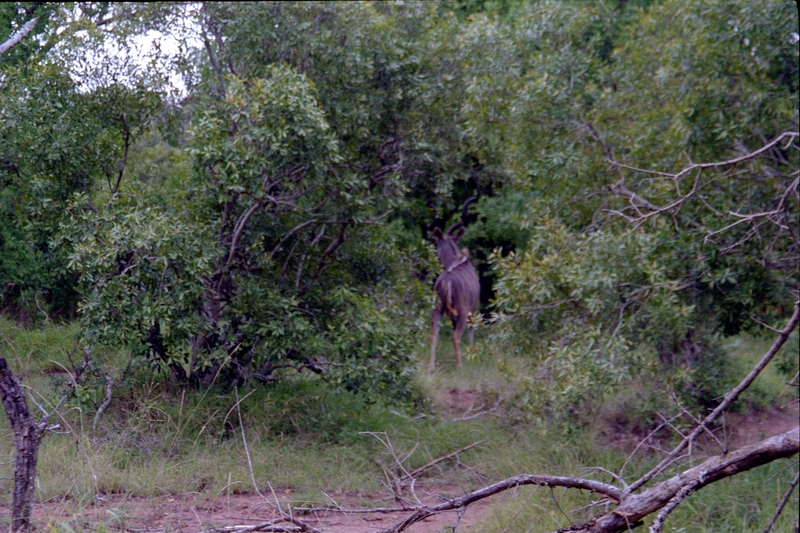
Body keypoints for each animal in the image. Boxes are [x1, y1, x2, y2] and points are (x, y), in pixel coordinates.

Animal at [428, 195, 478, 370]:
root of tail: (446, 282)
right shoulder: (472, 309)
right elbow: (471, 332)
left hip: (437, 309)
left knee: (433, 334)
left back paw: (431, 367)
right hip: (462, 312)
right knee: (456, 336)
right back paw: (460, 366)